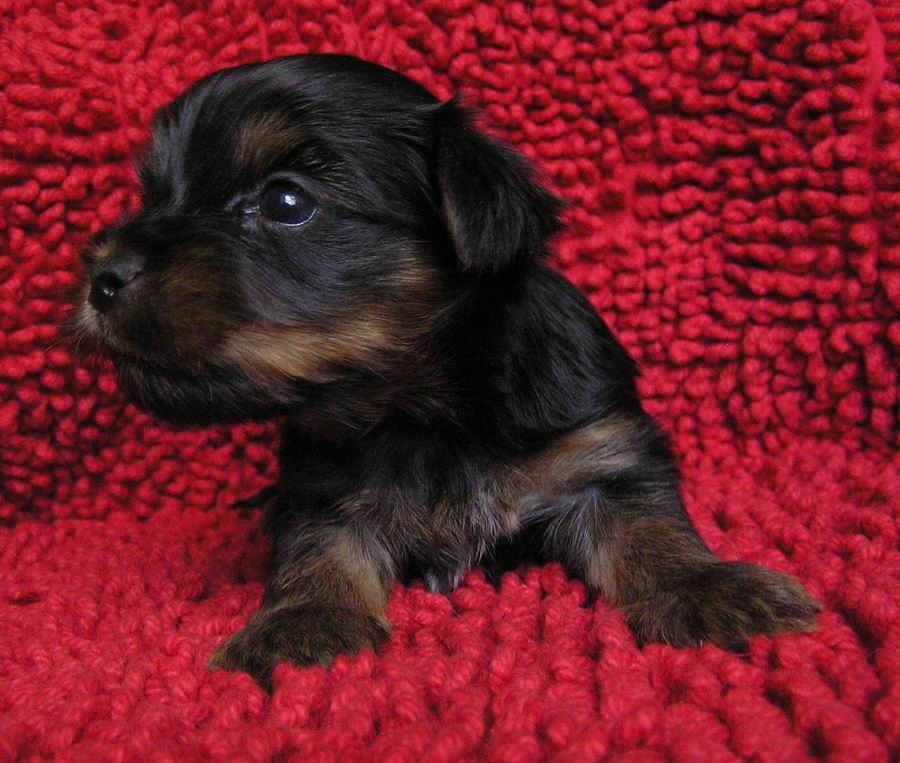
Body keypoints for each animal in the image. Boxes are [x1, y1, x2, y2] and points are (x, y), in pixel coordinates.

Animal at [70, 54, 818, 691]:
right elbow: (314, 553)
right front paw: (301, 623)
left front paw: (710, 588)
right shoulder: (321, 490)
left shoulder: (598, 454)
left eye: (287, 203)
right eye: (153, 194)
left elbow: (652, 531)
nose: (103, 275)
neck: (421, 413)